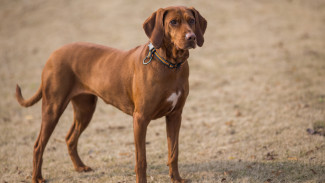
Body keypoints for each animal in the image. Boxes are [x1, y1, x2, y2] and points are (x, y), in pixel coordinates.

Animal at [15, 6, 205, 182]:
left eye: (191, 20)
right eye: (173, 22)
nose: (191, 37)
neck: (170, 65)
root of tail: (53, 54)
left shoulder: (175, 115)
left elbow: (174, 152)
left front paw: (176, 179)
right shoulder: (140, 118)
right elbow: (141, 160)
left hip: (85, 109)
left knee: (70, 138)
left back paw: (80, 167)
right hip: (53, 107)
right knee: (38, 145)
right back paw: (37, 177)